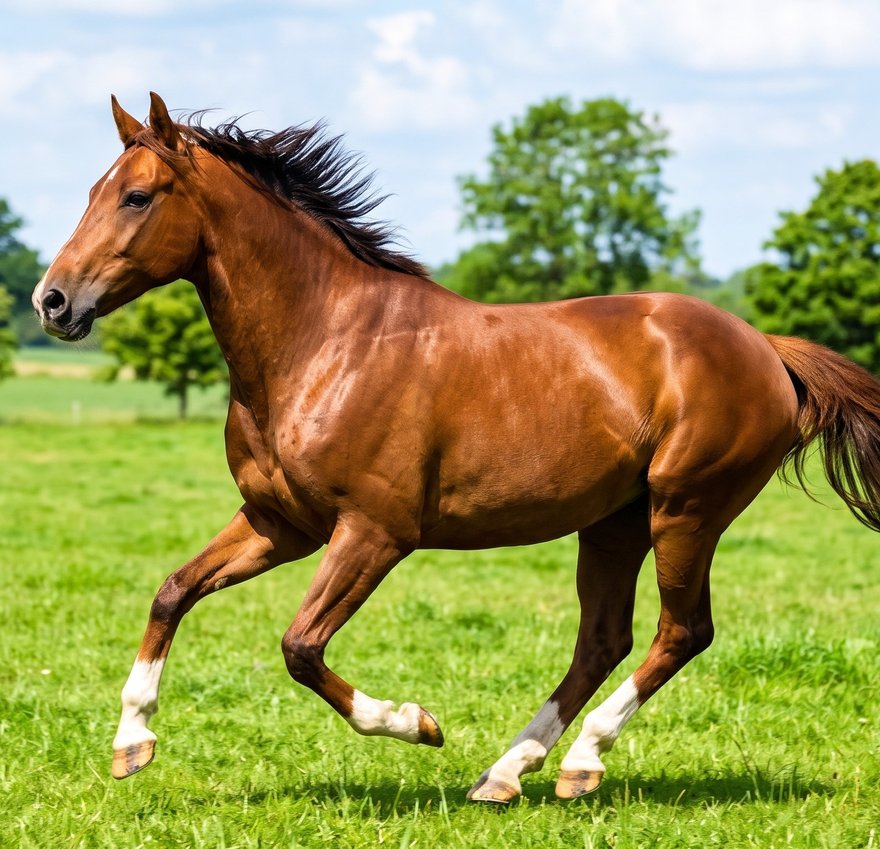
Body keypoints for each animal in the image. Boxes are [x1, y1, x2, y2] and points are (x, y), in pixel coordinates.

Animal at [33, 92, 880, 804]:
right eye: (93, 191)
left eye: (138, 196)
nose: (52, 301)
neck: (324, 342)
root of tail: (767, 350)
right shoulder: (281, 523)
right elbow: (172, 590)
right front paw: (131, 742)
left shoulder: (374, 532)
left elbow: (300, 645)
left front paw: (418, 722)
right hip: (613, 522)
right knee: (604, 638)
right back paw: (506, 773)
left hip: (686, 510)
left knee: (682, 631)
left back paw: (579, 760)